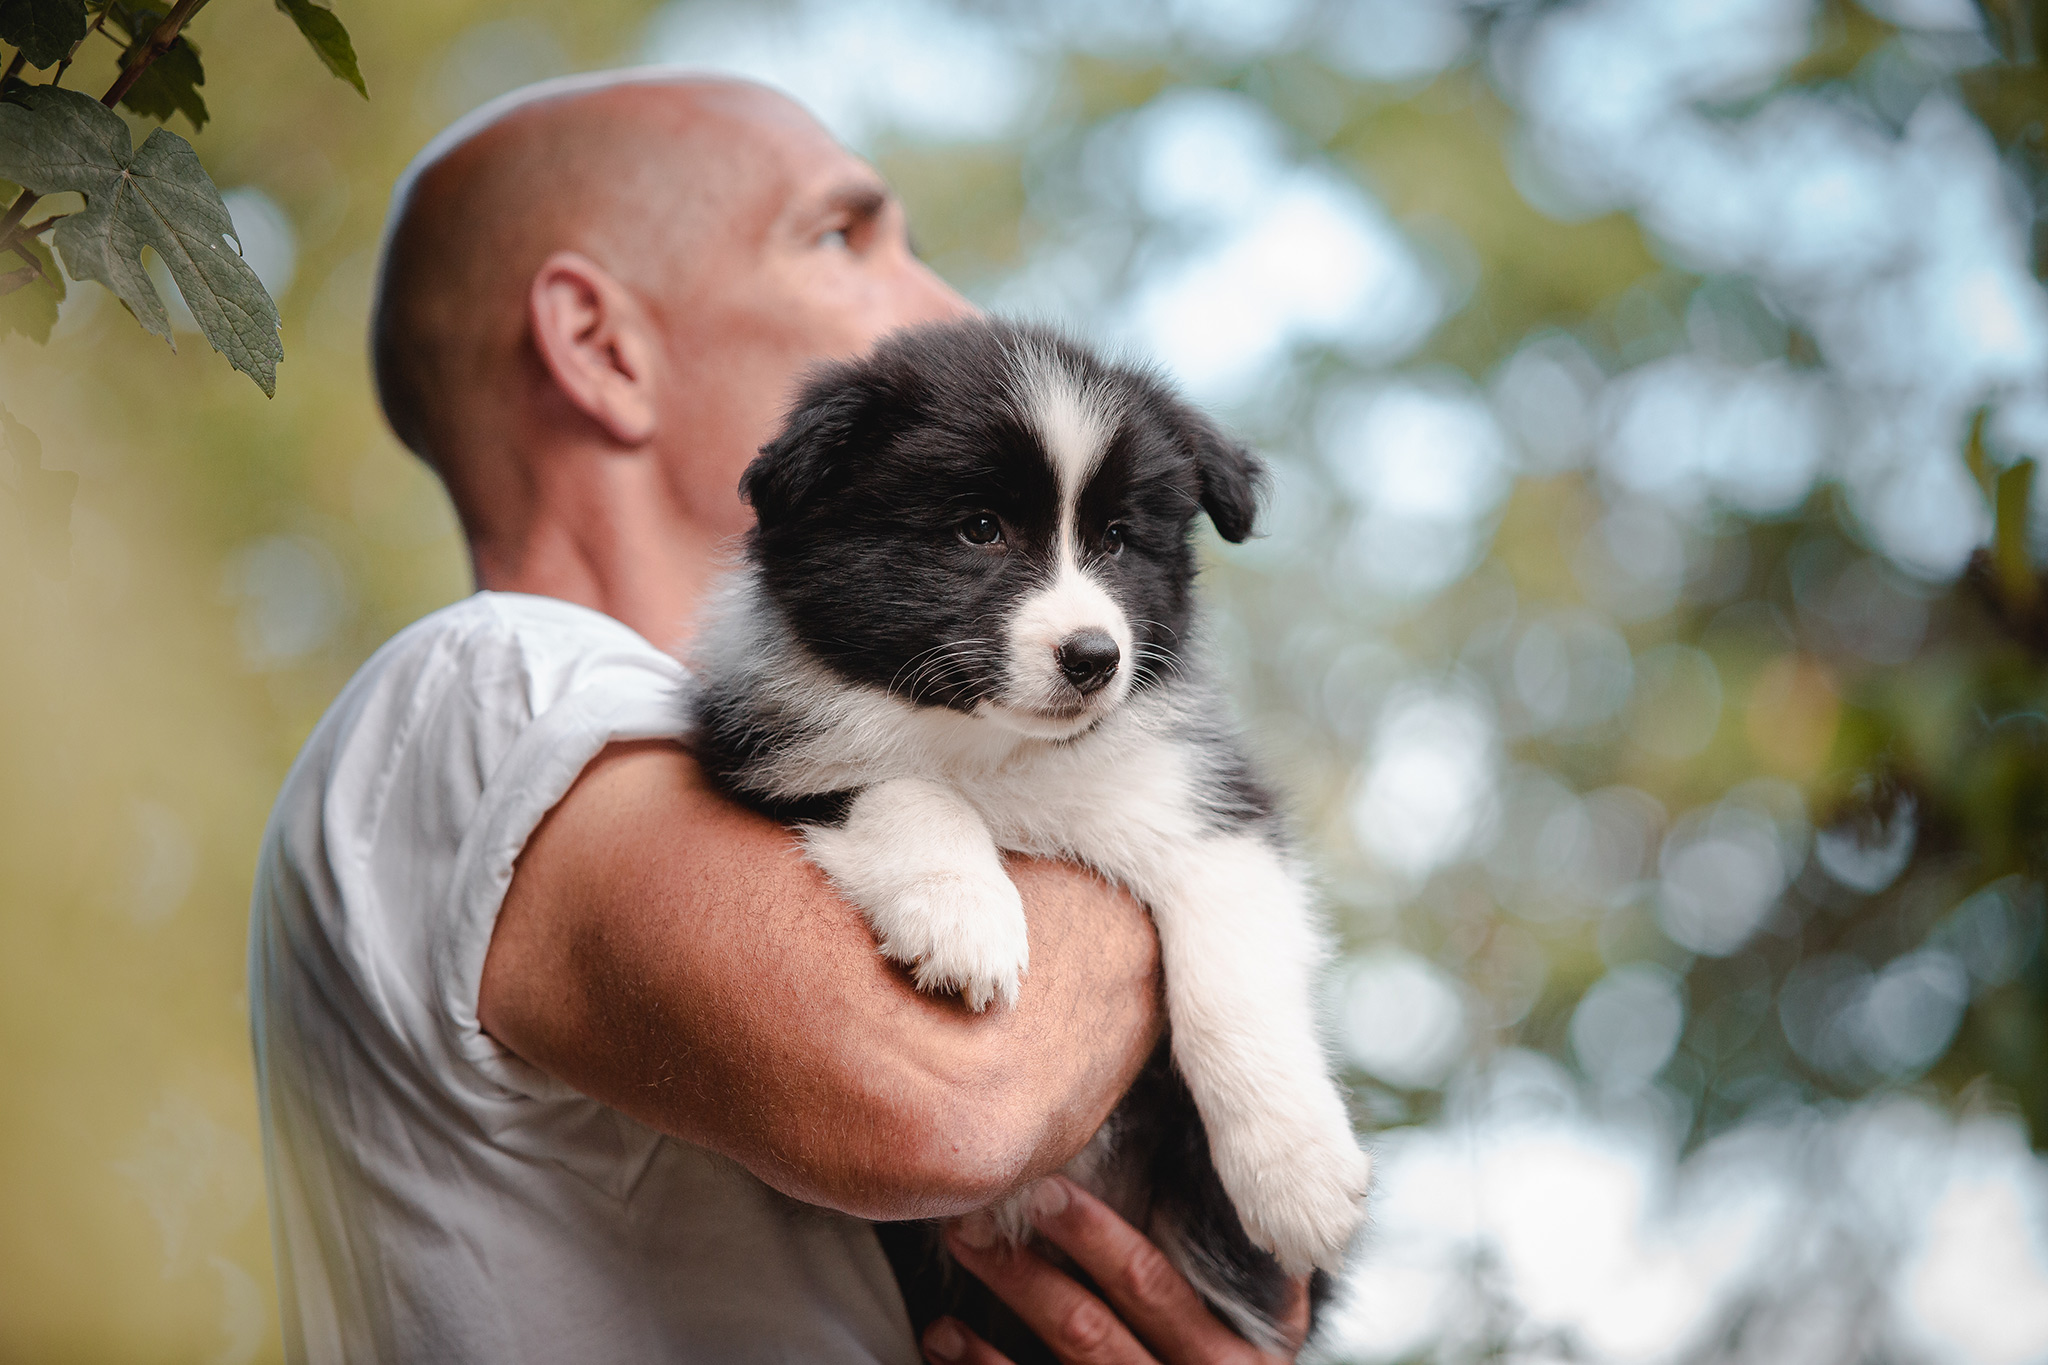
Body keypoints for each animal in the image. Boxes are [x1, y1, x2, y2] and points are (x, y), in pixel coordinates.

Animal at [688, 321, 1376, 1358]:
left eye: (1119, 539)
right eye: (978, 528)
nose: (1095, 657)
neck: (1000, 751)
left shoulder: (1208, 810)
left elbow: (1233, 980)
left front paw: (1299, 1179)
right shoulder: (761, 755)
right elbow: (905, 787)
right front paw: (963, 919)